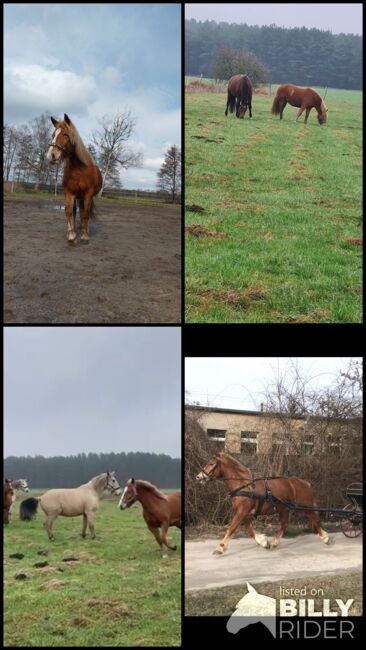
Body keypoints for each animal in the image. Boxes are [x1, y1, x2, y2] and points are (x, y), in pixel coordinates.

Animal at [46, 112, 103, 244]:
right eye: (53, 135)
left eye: (65, 134)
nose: (51, 156)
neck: (79, 170)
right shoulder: (69, 192)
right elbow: (68, 211)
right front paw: (71, 235)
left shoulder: (88, 194)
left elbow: (86, 213)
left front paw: (85, 236)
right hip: (78, 196)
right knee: (76, 211)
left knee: (84, 212)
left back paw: (84, 229)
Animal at [197, 450, 328, 552]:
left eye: (211, 463)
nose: (198, 477)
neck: (243, 486)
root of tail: (304, 483)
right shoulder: (246, 514)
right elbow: (250, 531)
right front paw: (264, 542)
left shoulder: (241, 512)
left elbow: (231, 528)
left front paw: (220, 547)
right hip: (284, 509)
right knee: (284, 524)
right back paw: (275, 543)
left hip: (306, 507)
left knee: (315, 520)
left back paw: (325, 537)